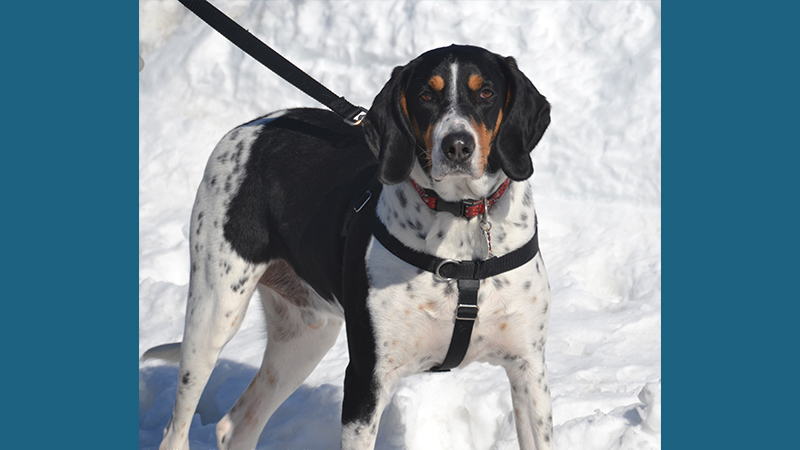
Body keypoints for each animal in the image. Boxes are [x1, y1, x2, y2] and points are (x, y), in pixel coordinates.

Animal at [144, 43, 552, 450]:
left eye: (487, 93)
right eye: (425, 96)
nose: (456, 146)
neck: (461, 219)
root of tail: (252, 126)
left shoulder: (529, 371)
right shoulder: (365, 380)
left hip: (304, 337)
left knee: (237, 424)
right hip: (212, 317)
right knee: (176, 428)